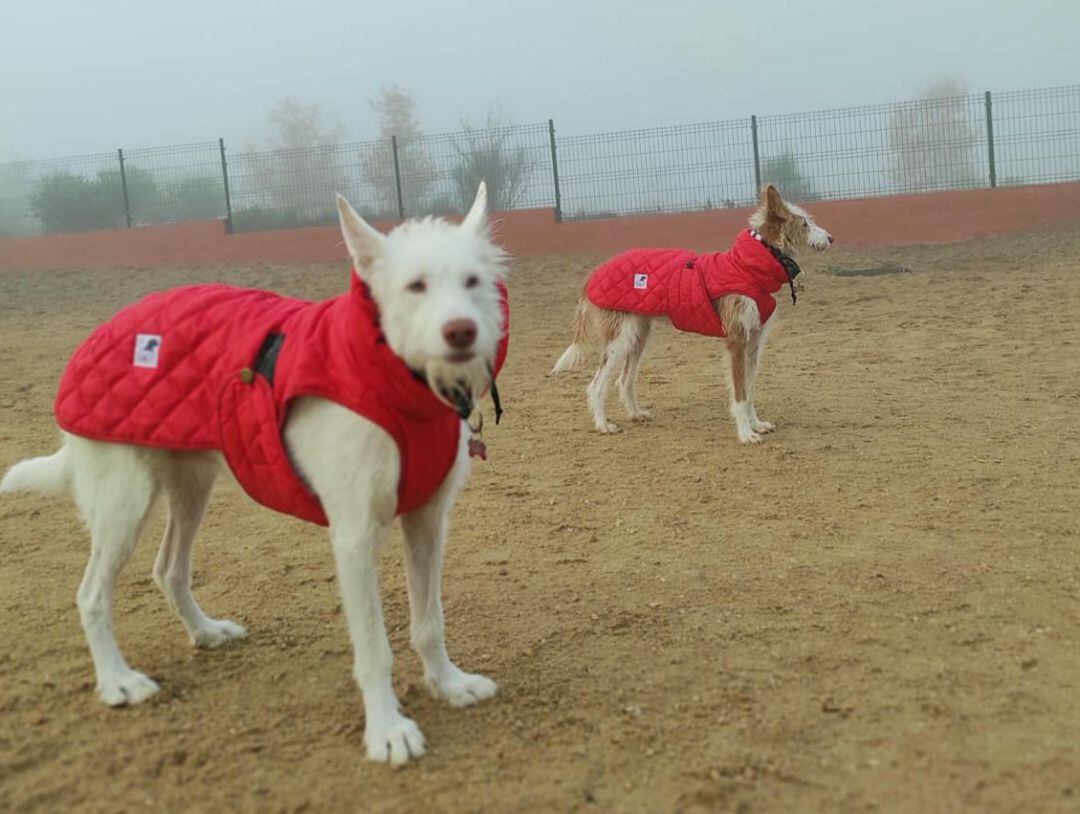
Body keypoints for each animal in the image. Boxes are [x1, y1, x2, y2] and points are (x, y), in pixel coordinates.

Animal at [0, 182, 507, 760]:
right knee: (91, 596)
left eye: (472, 281)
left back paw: (204, 632)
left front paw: (448, 684)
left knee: (168, 569)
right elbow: (375, 646)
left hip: (191, 488)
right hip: (123, 503)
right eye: (415, 286)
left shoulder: (425, 520)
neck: (396, 378)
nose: (461, 331)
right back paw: (117, 682)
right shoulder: (354, 537)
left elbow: (429, 621)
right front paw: (387, 730)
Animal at [552, 183, 829, 440]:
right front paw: (745, 433)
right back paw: (602, 425)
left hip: (638, 336)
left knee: (624, 379)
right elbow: (739, 393)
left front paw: (757, 424)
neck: (748, 266)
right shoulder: (737, 340)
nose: (830, 238)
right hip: (621, 337)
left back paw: (636, 413)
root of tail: (594, 273)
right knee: (596, 384)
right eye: (805, 223)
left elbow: (749, 390)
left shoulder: (754, 342)